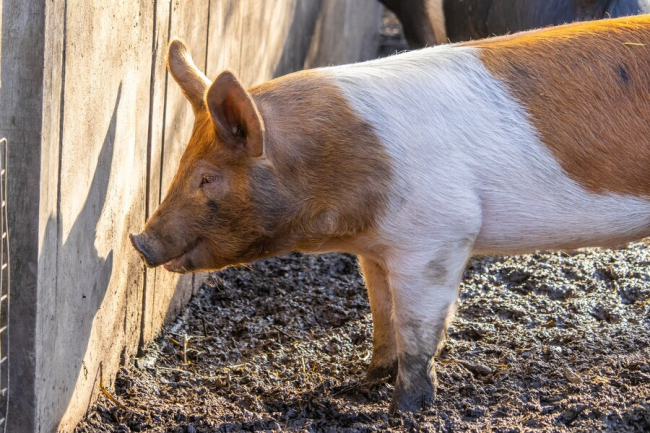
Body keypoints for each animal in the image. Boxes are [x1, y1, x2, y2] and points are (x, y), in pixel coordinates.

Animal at [130, 16, 648, 412]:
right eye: (181, 164)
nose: (140, 241)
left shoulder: (439, 235)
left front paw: (406, 409)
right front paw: (363, 382)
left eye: (207, 178)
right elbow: (382, 312)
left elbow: (418, 327)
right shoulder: (376, 248)